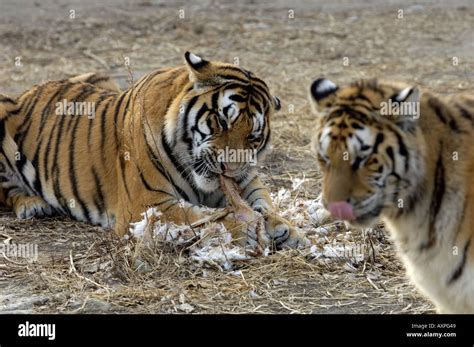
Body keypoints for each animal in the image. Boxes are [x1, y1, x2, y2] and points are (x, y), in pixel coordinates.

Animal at [0, 52, 308, 250]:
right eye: (222, 121)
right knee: (6, 189)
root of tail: (27, 92)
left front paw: (287, 230)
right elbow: (198, 216)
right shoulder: (145, 203)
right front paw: (243, 229)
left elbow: (263, 203)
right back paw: (32, 204)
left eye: (253, 137)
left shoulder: (245, 180)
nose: (228, 169)